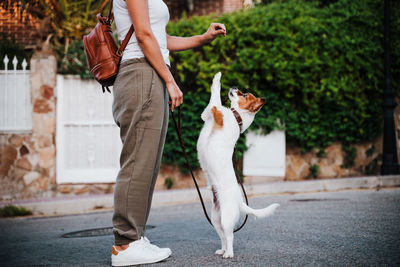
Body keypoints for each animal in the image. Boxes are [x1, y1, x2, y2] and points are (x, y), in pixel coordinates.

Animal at [196, 72, 278, 258]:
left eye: (245, 94)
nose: (233, 86)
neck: (236, 117)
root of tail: (239, 201)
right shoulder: (207, 115)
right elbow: (214, 101)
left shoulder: (215, 110)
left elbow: (215, 96)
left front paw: (217, 77)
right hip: (216, 219)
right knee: (223, 237)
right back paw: (223, 250)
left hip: (226, 220)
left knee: (230, 237)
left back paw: (229, 254)